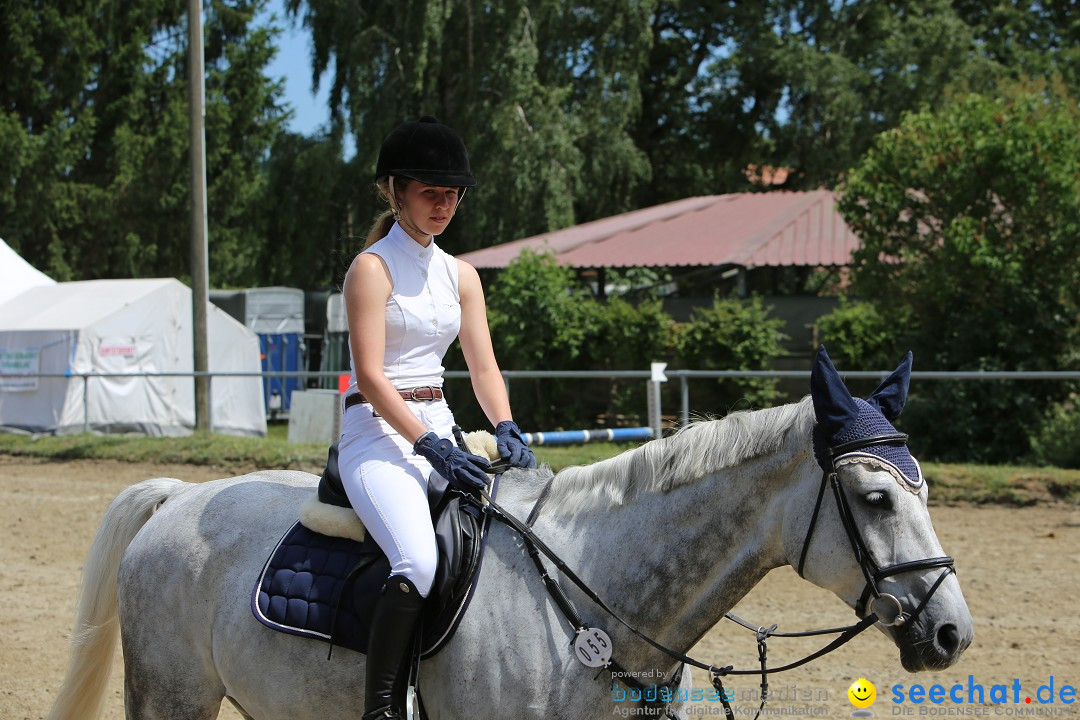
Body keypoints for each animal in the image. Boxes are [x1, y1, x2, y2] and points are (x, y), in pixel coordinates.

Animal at [48, 349, 972, 720]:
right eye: (875, 498)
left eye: (923, 488)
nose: (950, 632)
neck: (598, 598)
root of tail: (179, 500)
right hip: (171, 696)